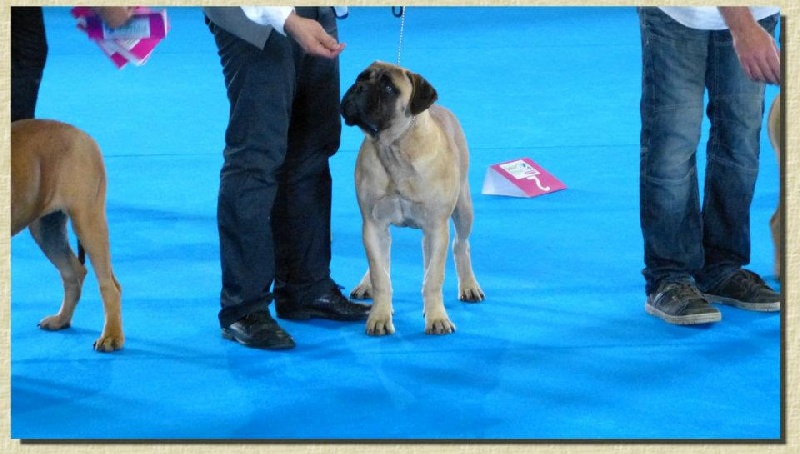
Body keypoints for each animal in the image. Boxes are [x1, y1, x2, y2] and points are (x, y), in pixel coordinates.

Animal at [11, 119, 124, 352]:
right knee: (74, 271)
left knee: (109, 284)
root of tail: (80, 133)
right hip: (47, 228)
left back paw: (111, 336)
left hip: (88, 220)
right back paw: (61, 319)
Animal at [341, 61, 484, 336]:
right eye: (360, 78)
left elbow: (433, 277)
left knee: (460, 245)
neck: (395, 148)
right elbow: (380, 274)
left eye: (388, 87)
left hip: (463, 209)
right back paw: (366, 284)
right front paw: (379, 316)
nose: (358, 88)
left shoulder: (436, 227)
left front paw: (437, 317)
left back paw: (469, 285)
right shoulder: (373, 225)